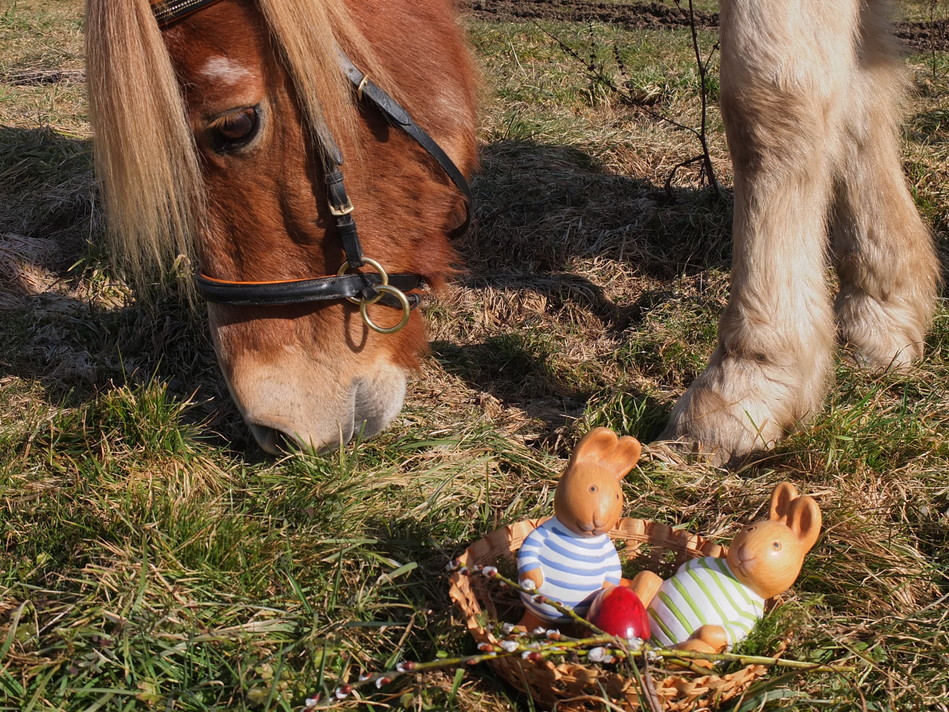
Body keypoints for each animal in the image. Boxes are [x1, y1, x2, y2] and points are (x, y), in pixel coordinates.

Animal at [85, 0, 939, 463]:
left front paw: (756, 377)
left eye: (233, 126)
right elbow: (856, 88)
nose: (275, 425)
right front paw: (882, 304)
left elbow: (771, 92)